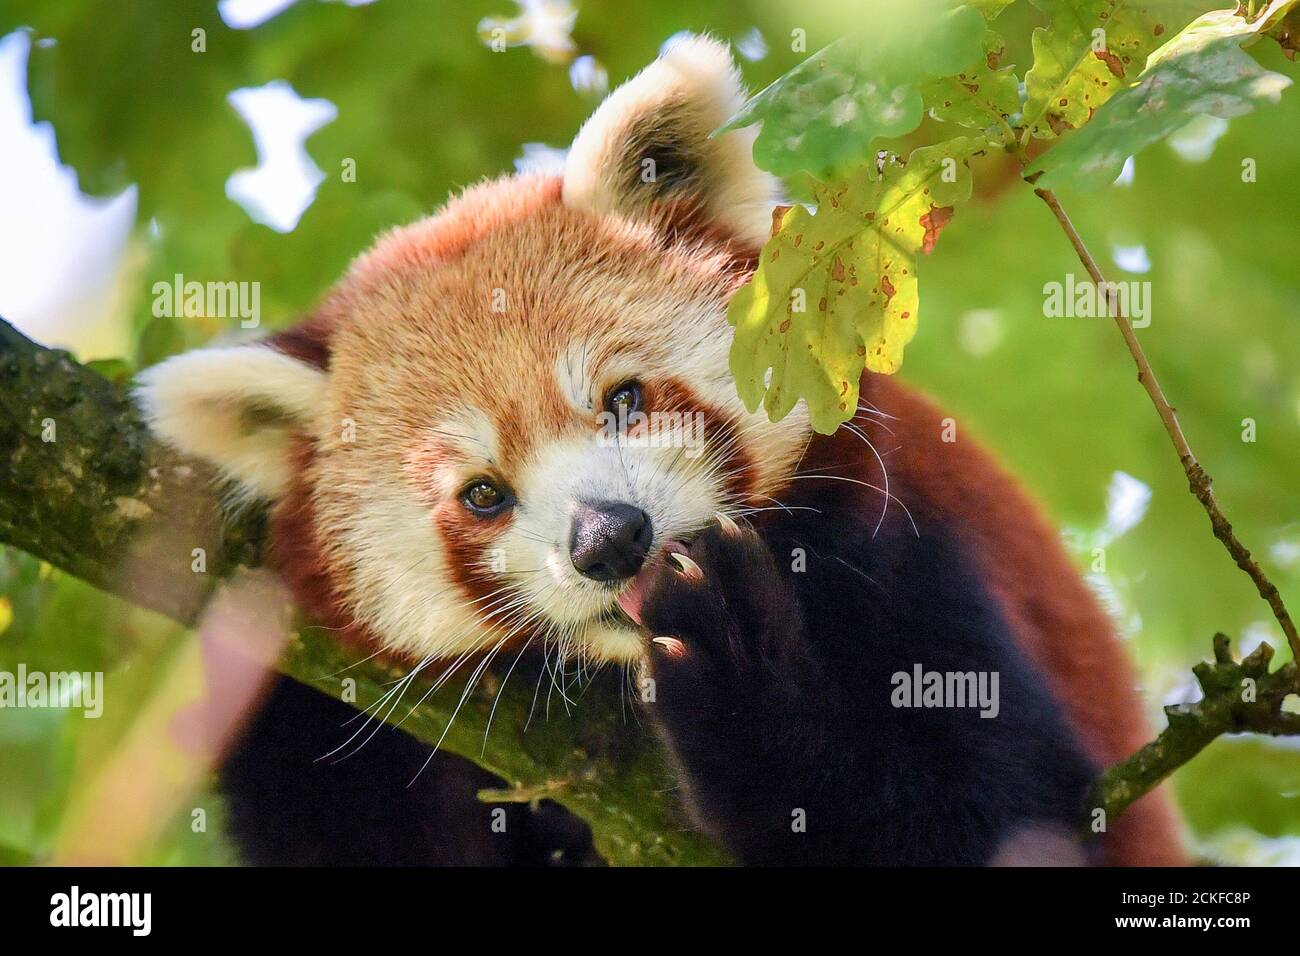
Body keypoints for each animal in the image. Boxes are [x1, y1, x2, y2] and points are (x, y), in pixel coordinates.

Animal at [137, 37, 1185, 863]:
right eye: (482, 494)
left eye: (625, 400)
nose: (609, 540)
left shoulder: (907, 548)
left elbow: (999, 815)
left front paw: (743, 677)